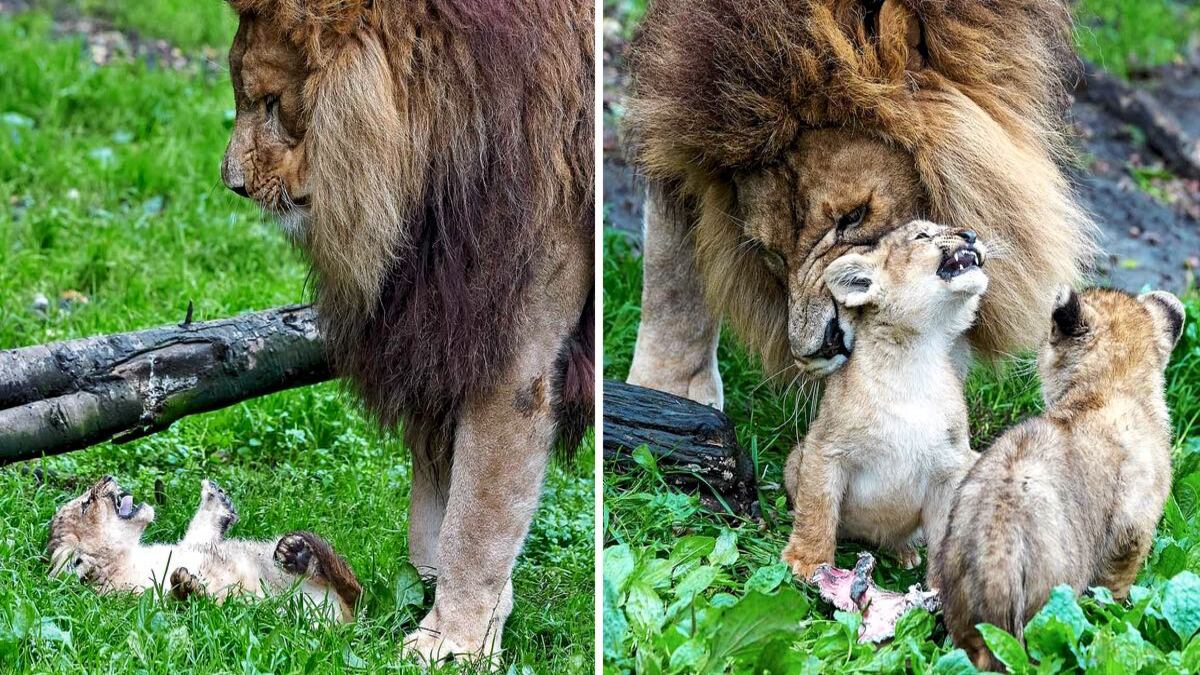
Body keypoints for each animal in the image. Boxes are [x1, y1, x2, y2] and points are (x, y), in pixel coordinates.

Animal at [218, 0, 592, 662]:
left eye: (270, 103)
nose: (230, 182)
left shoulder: (514, 353)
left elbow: (476, 519)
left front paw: (449, 642)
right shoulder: (442, 329)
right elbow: (434, 506)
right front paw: (462, 609)